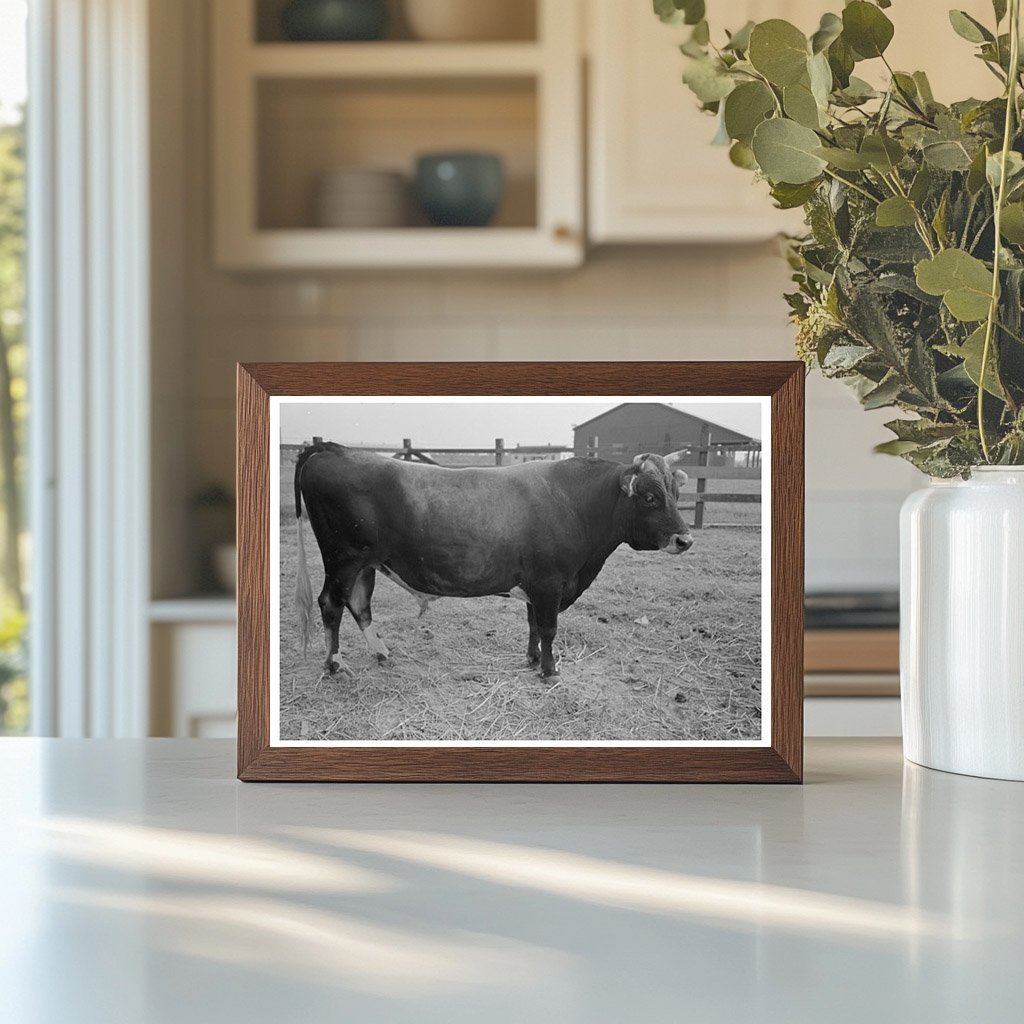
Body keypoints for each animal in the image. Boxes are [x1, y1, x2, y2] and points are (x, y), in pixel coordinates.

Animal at [293, 441, 694, 680]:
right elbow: (548, 627)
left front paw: (533, 659)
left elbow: (533, 625)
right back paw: (334, 662)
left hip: (366, 563)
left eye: (676, 493)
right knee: (331, 604)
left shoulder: (536, 585)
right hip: (342, 559)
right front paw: (550, 670)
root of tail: (333, 449)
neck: (574, 502)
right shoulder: (549, 583)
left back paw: (381, 653)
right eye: (649, 497)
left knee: (359, 605)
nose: (685, 539)